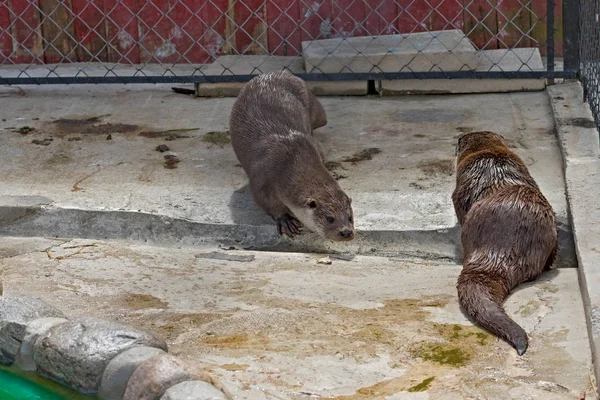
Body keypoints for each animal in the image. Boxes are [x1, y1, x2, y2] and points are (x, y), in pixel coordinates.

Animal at [227, 71, 354, 241]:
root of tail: (279, 72)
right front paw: (285, 219)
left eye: (350, 217)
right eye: (330, 219)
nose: (346, 232)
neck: (292, 156)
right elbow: (266, 202)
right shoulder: (262, 177)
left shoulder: (314, 146)